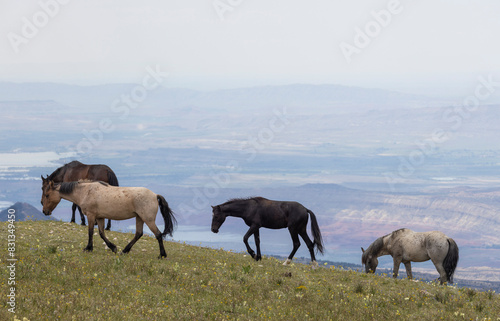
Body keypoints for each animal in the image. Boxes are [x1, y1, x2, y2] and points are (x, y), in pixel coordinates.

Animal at [42, 180, 178, 258]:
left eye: (47, 195)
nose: (45, 211)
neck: (85, 191)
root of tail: (155, 195)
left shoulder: (91, 215)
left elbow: (90, 232)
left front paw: (88, 248)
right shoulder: (100, 217)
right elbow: (101, 233)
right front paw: (113, 248)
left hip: (148, 219)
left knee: (158, 234)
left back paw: (162, 255)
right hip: (139, 218)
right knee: (139, 233)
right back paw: (124, 251)